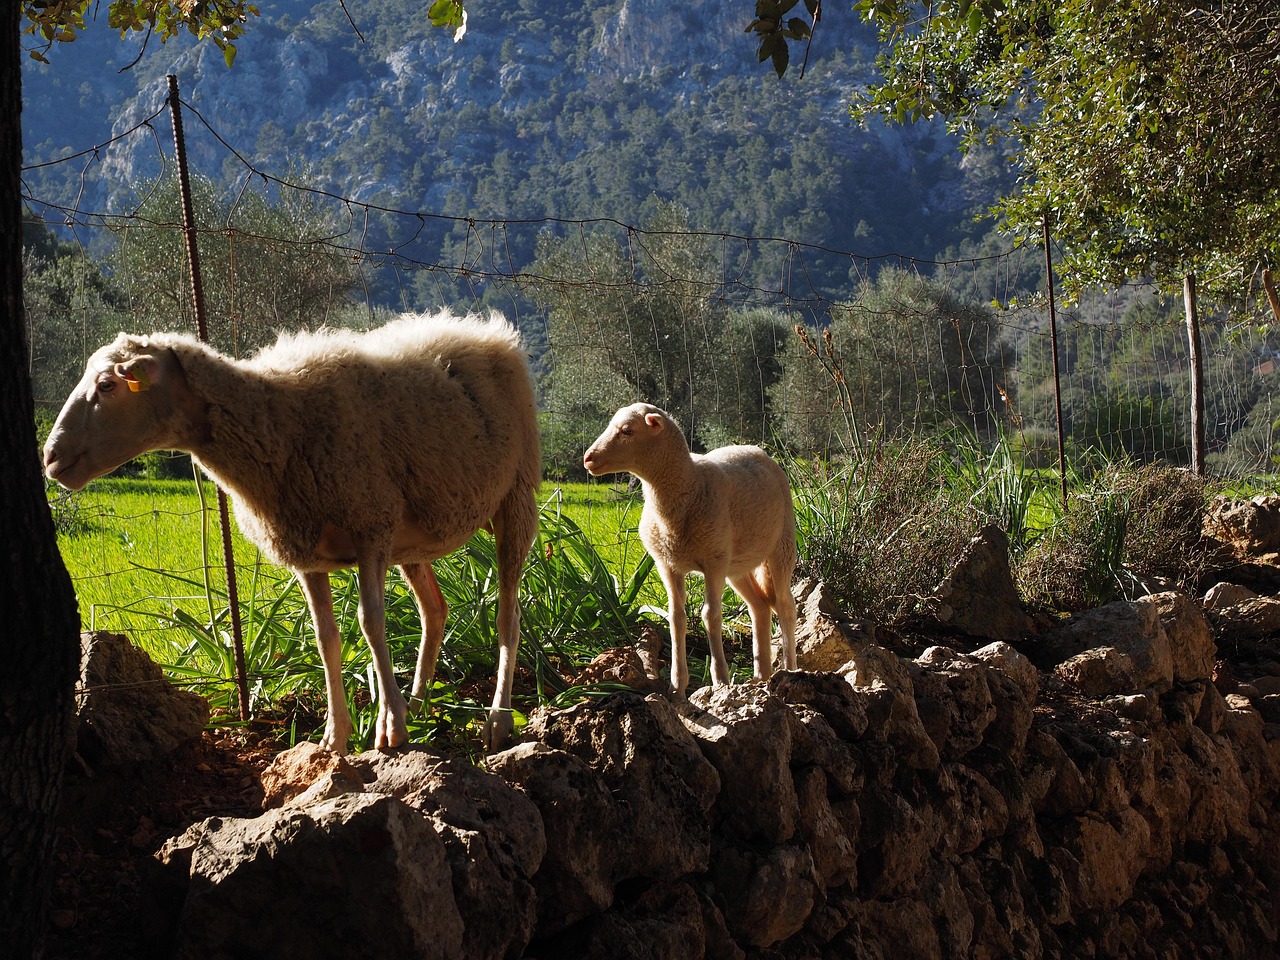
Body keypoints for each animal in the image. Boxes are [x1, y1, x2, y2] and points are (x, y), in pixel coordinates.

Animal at [43, 311, 541, 754]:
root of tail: (486, 331)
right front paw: (336, 738)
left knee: (508, 615)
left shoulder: (370, 528)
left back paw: (496, 720)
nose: (50, 458)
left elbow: (371, 624)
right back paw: (417, 704)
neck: (275, 422)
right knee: (435, 611)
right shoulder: (308, 552)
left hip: (516, 497)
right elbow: (326, 639)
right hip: (410, 538)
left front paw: (390, 729)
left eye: (108, 385)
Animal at [583, 402, 797, 695]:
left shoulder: (713, 563)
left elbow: (711, 615)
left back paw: (790, 670)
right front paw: (677, 685)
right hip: (736, 565)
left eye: (627, 430)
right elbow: (676, 618)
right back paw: (761, 677)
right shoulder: (667, 564)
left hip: (781, 545)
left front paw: (721, 680)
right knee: (760, 608)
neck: (689, 483)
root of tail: (757, 450)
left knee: (786, 606)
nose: (588, 458)